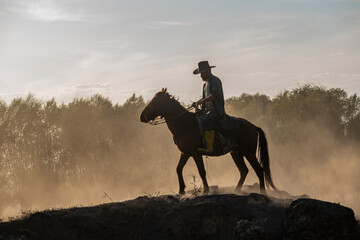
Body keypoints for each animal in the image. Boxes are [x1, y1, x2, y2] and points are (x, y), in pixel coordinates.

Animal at [139, 88, 278, 195]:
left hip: (248, 152)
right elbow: (178, 169)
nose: (142, 116)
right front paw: (181, 190)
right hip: (236, 153)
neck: (184, 124)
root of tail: (253, 126)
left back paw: (262, 192)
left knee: (259, 170)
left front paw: (205, 190)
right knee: (244, 171)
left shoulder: (196, 154)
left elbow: (202, 171)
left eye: (156, 102)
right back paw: (236, 190)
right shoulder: (185, 153)